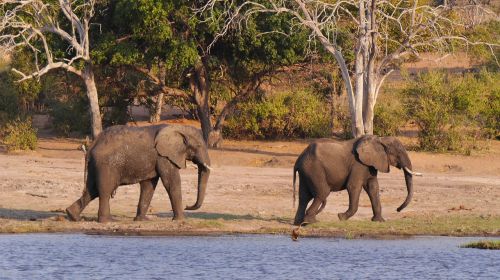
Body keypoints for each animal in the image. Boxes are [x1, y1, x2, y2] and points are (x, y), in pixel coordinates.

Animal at [65, 124, 211, 223]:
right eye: (198, 146)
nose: (188, 206)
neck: (178, 128)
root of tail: (92, 145)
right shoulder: (163, 156)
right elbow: (171, 182)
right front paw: (180, 220)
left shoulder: (156, 158)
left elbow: (148, 186)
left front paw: (142, 220)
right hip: (106, 164)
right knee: (105, 190)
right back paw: (108, 221)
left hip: (96, 164)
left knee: (92, 190)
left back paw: (73, 216)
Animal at [292, 136, 422, 225]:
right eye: (398, 153)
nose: (398, 209)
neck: (380, 140)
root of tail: (298, 160)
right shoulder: (358, 165)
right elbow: (353, 186)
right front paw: (341, 217)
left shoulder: (370, 164)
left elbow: (373, 188)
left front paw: (379, 221)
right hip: (314, 169)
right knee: (322, 193)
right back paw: (311, 222)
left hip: (306, 172)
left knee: (304, 196)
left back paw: (298, 222)